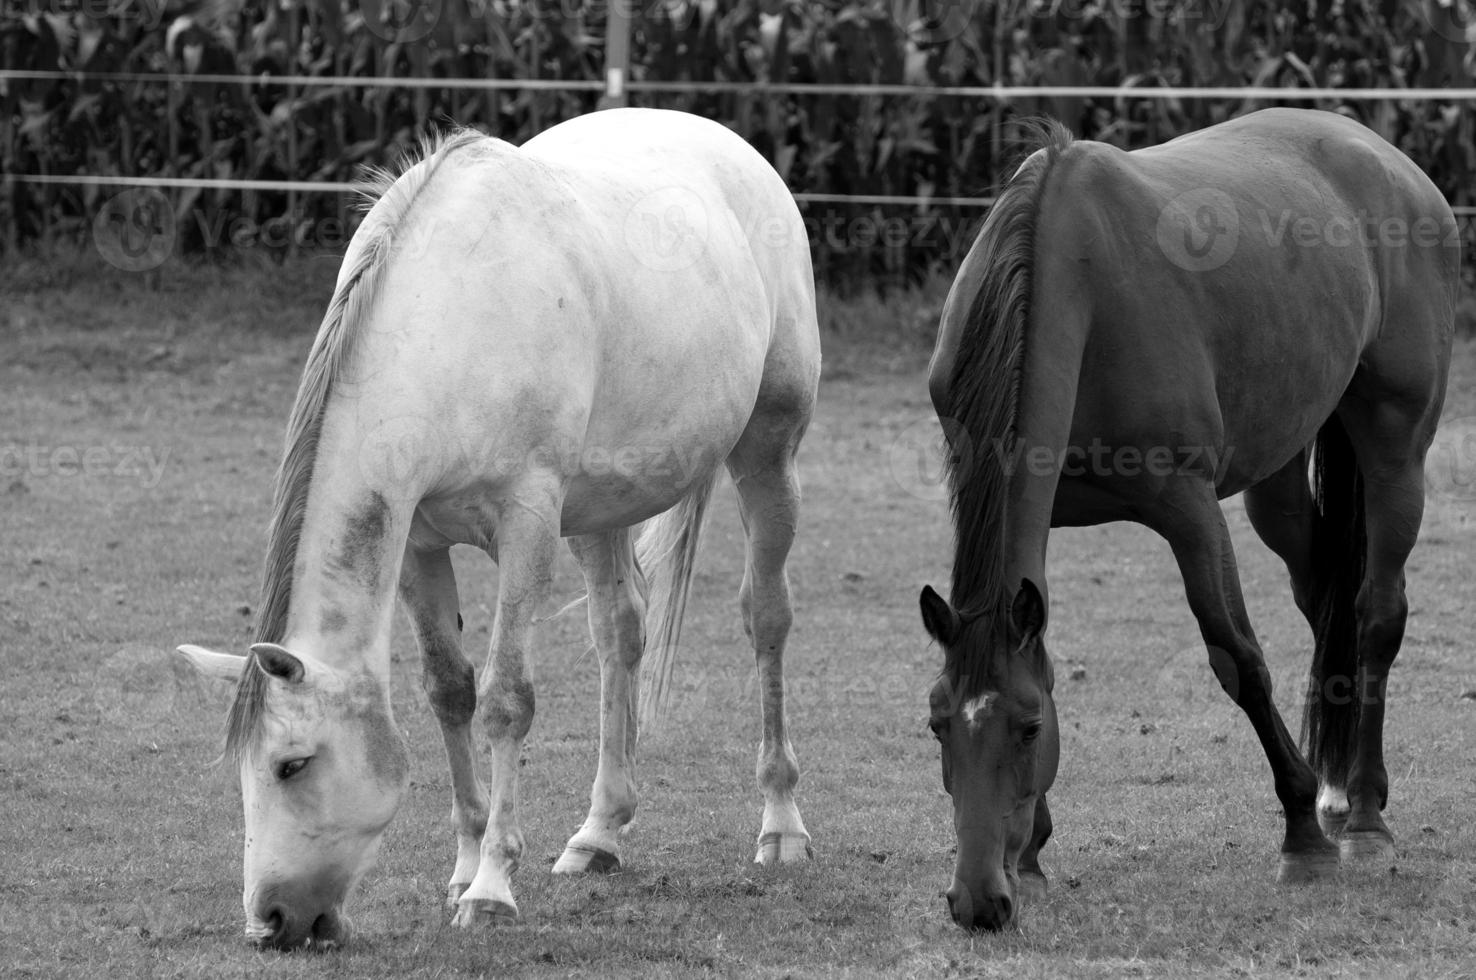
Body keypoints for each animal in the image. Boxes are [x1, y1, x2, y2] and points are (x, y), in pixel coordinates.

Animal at [175, 109, 820, 950]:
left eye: (292, 764)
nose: (272, 923)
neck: (454, 321)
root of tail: (730, 145)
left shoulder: (527, 523)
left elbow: (507, 700)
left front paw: (489, 890)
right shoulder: (419, 543)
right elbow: (450, 692)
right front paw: (463, 867)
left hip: (768, 455)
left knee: (765, 619)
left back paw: (781, 826)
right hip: (599, 510)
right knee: (621, 633)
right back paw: (598, 835)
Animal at [921, 109, 1452, 932]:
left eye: (1029, 728)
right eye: (939, 725)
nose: (979, 901)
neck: (1072, 282)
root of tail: (1383, 155)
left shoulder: (1188, 507)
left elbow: (1239, 657)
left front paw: (1301, 839)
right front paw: (1034, 853)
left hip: (1396, 449)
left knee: (1375, 616)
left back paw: (1361, 816)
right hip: (1279, 481)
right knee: (1323, 603)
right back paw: (1337, 794)